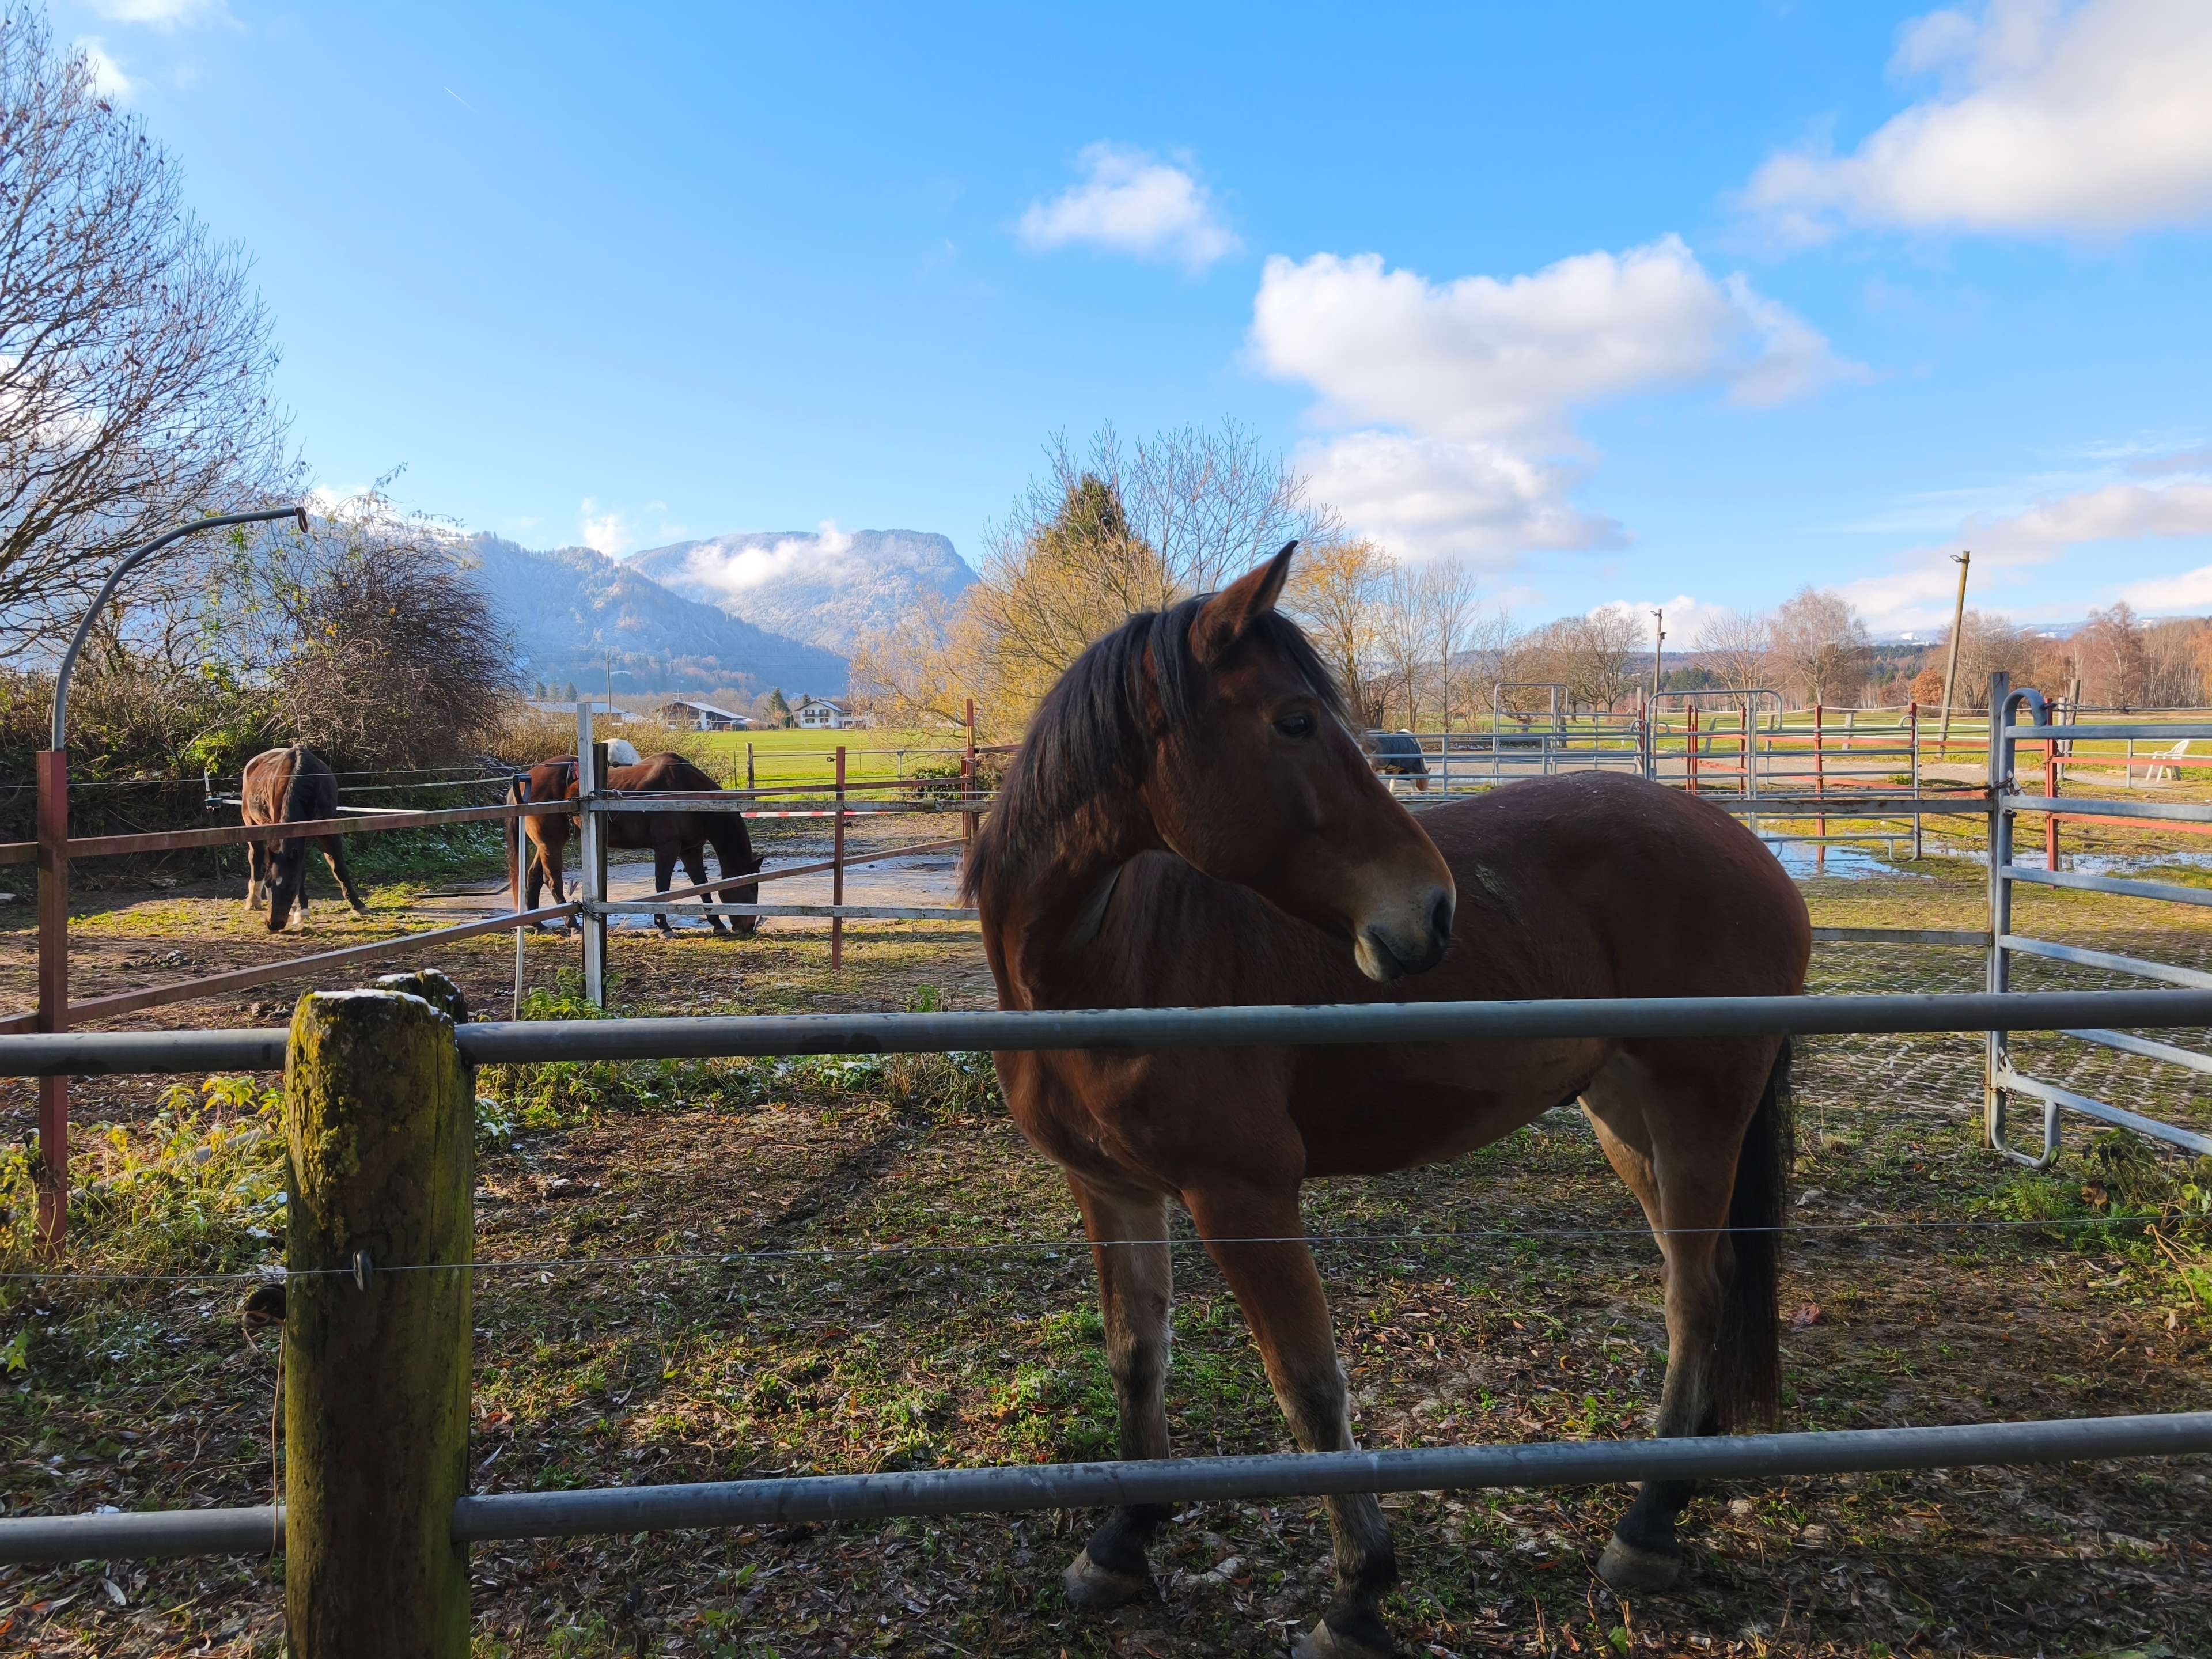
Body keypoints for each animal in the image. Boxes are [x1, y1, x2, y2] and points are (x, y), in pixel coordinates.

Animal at [240, 746, 369, 933]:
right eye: (268, 885)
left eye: (290, 887)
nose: (273, 924)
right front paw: (301, 910)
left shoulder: (329, 832)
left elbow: (339, 868)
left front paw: (358, 905)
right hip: (252, 824)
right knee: (255, 857)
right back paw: (254, 900)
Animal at [508, 750, 762, 936]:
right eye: (751, 888)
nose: (748, 928)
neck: (688, 792)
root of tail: (528, 777)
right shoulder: (667, 847)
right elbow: (662, 886)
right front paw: (664, 927)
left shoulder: (691, 849)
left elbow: (701, 884)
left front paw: (716, 923)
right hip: (551, 844)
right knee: (552, 881)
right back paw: (573, 925)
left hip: (547, 844)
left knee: (533, 878)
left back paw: (539, 926)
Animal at [963, 543, 1809, 1658]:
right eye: (1293, 721)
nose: (1433, 912)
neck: (1111, 962)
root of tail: (1745, 844)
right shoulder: (1110, 1188)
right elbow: (1137, 1356)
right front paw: (1122, 1543)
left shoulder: (1243, 1195)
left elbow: (1310, 1387)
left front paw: (1357, 1593)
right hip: (1627, 1117)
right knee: (1704, 1282)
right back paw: (1679, 1489)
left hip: (1697, 1109)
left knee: (1696, 1297)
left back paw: (1645, 1525)